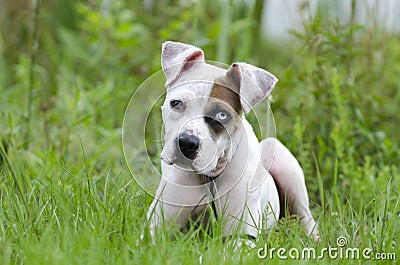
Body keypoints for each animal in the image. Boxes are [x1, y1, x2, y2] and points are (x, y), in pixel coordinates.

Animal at [147, 40, 318, 243]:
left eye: (222, 115)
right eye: (176, 103)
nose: (187, 143)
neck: (209, 178)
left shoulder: (242, 235)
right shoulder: (156, 228)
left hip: (281, 158)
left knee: (306, 219)